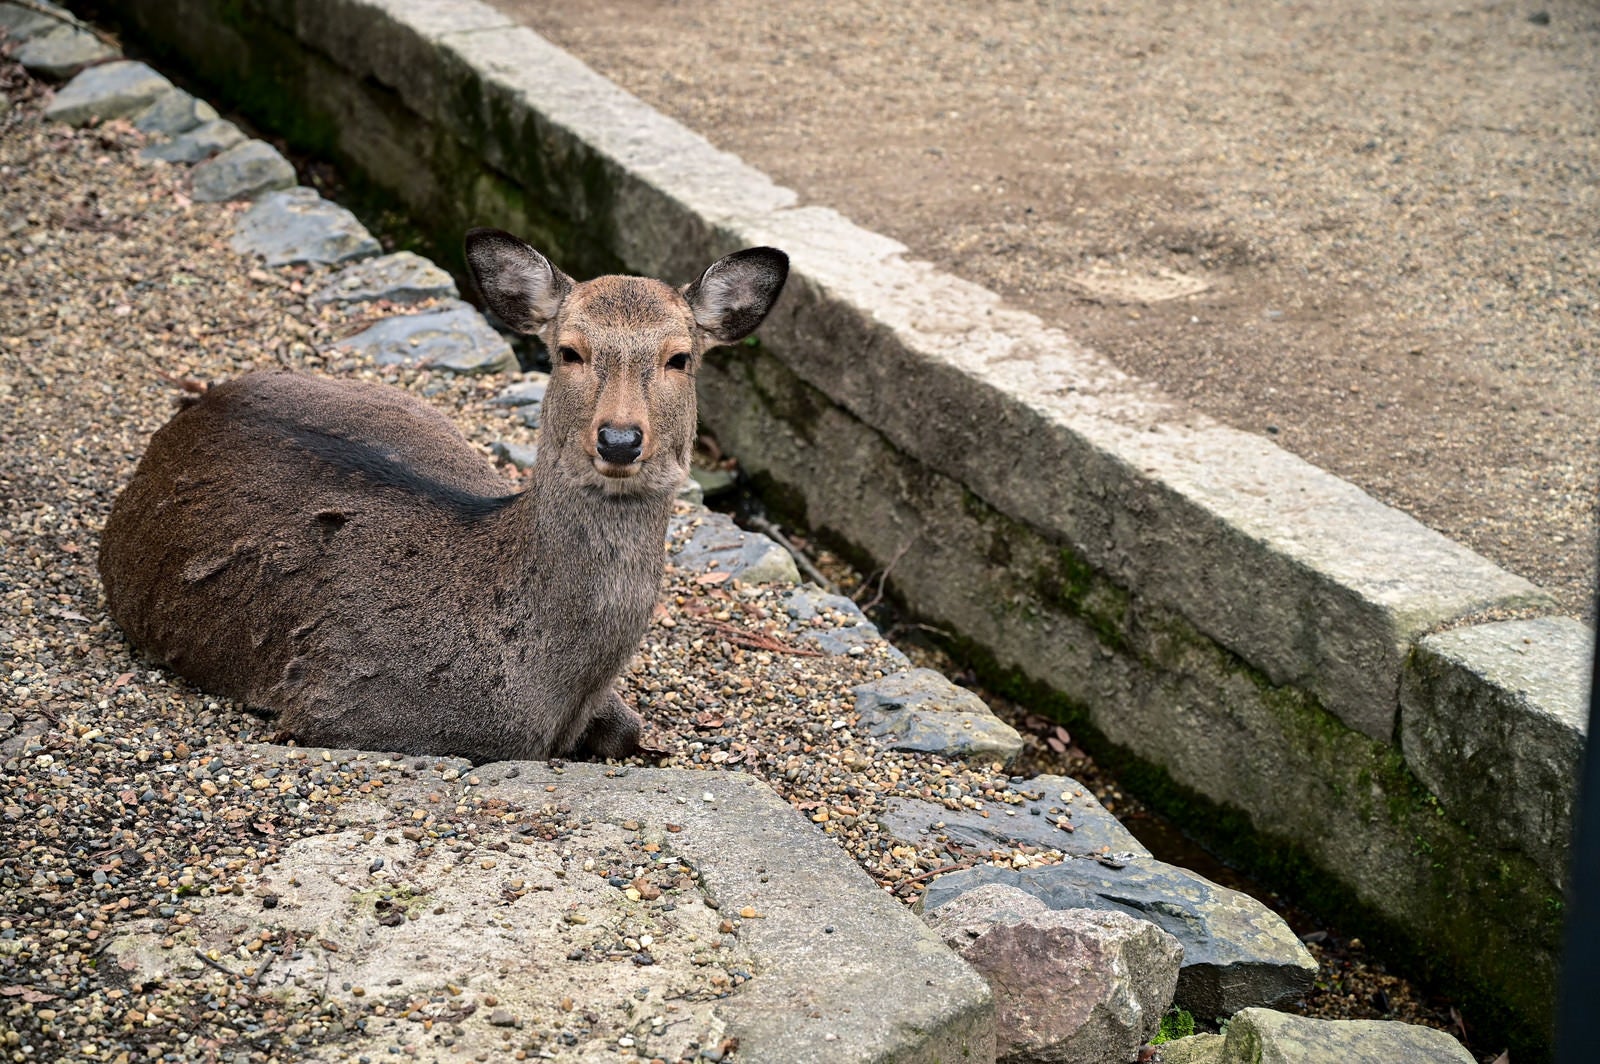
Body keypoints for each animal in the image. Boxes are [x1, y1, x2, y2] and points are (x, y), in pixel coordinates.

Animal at [98, 230, 787, 764]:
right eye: (568, 352)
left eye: (680, 358)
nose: (620, 439)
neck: (544, 693)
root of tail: (191, 410)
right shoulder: (333, 707)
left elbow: (631, 728)